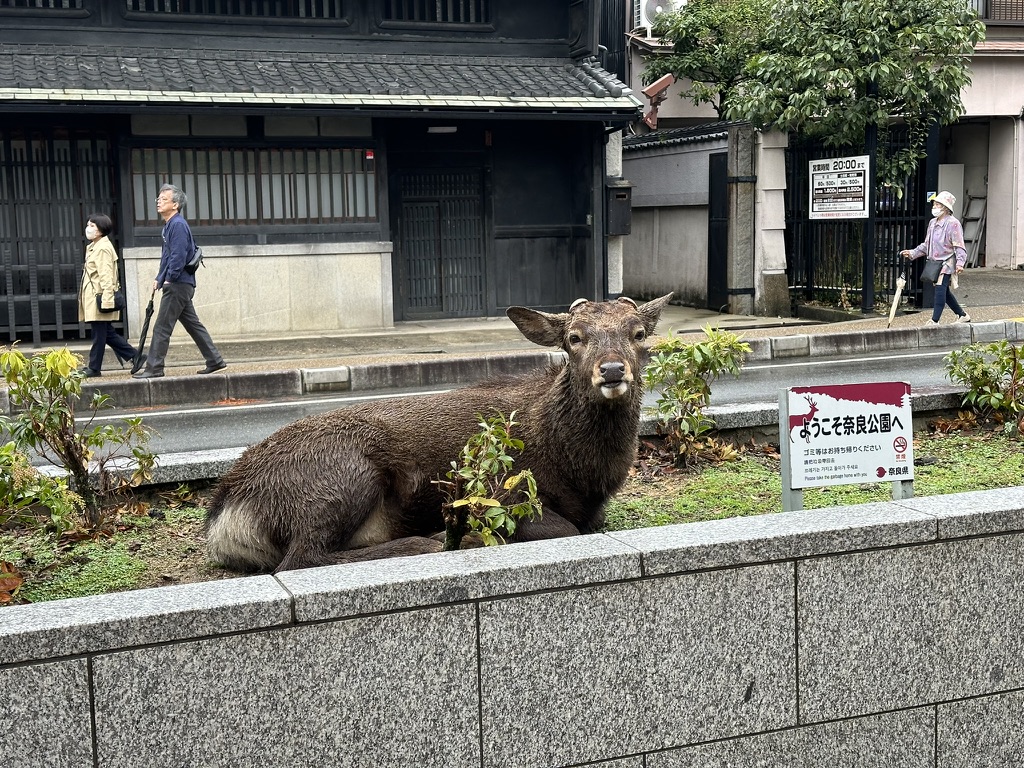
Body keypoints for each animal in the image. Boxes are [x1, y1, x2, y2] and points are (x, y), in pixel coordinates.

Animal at [205, 294, 672, 573]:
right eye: (574, 338)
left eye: (639, 333)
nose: (611, 369)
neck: (584, 472)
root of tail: (225, 513)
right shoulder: (503, 495)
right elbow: (564, 530)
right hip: (339, 478)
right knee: (300, 559)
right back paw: (434, 541)